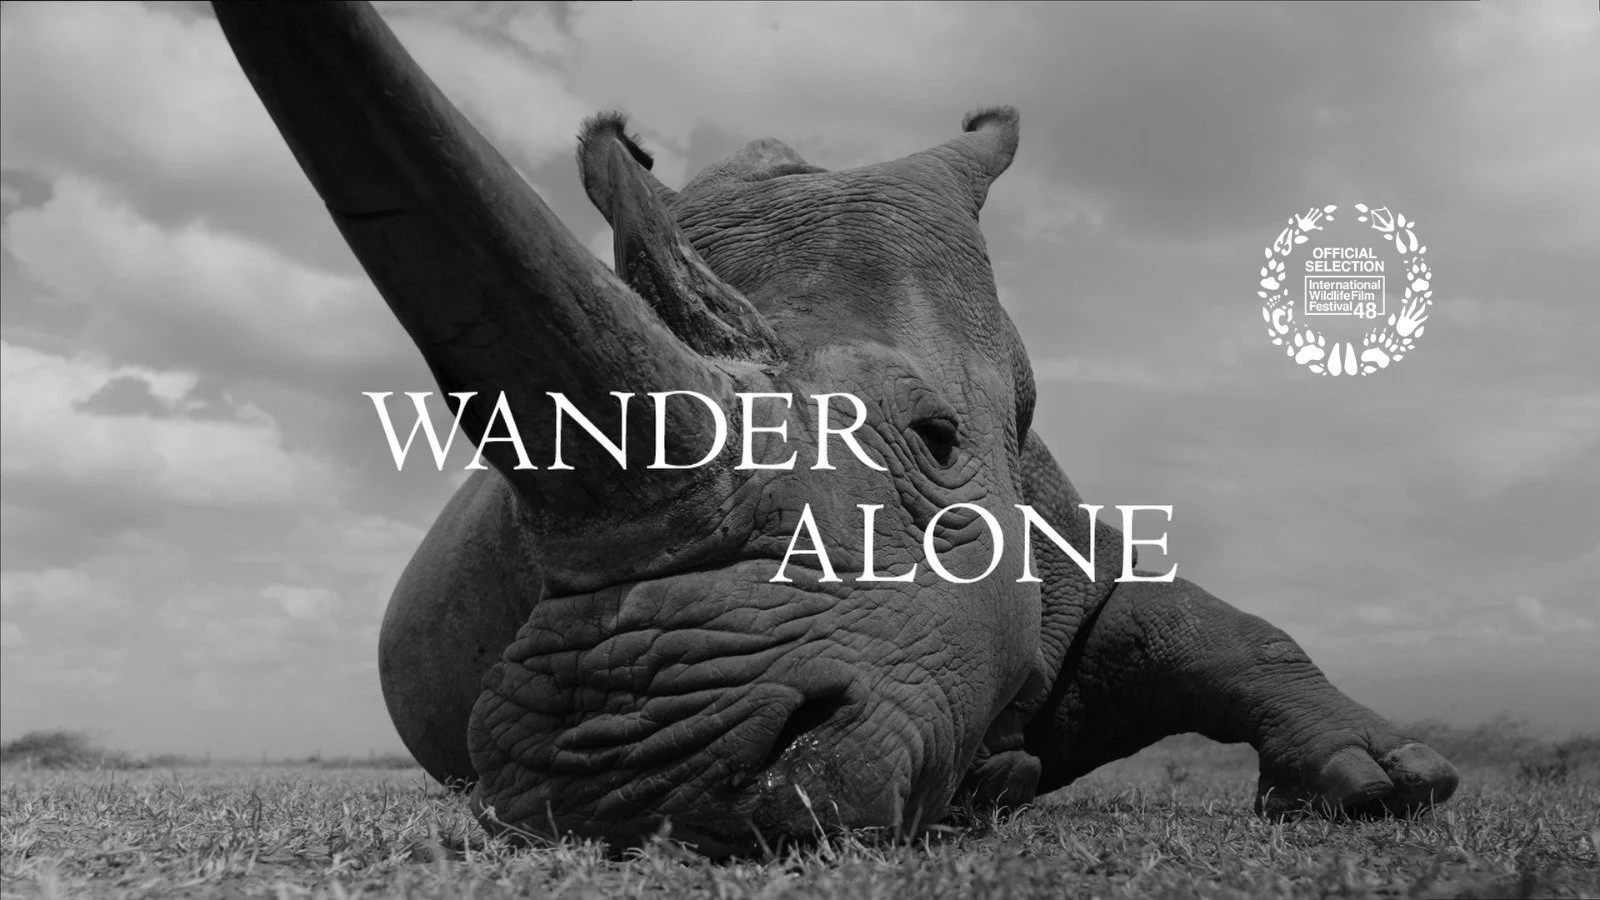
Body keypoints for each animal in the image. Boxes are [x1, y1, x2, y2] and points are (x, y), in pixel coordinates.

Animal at [215, 1, 1459, 855]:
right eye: (517, 540)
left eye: (941, 437)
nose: (631, 780)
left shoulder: (1050, 528)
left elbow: (1196, 622)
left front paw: (1393, 782)